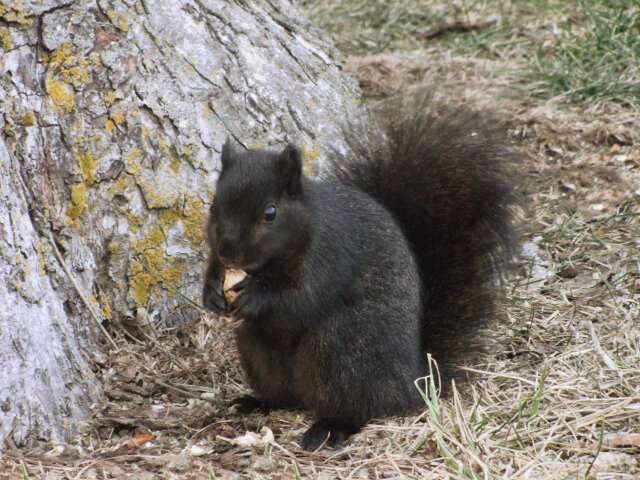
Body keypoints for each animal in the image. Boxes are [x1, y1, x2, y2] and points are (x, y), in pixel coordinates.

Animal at [202, 90, 524, 450]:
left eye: (270, 213)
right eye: (213, 206)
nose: (229, 252)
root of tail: (411, 382)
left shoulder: (329, 255)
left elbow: (300, 298)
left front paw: (254, 297)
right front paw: (211, 293)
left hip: (340, 353)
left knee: (359, 408)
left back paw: (330, 428)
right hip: (259, 354)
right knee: (287, 397)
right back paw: (256, 402)